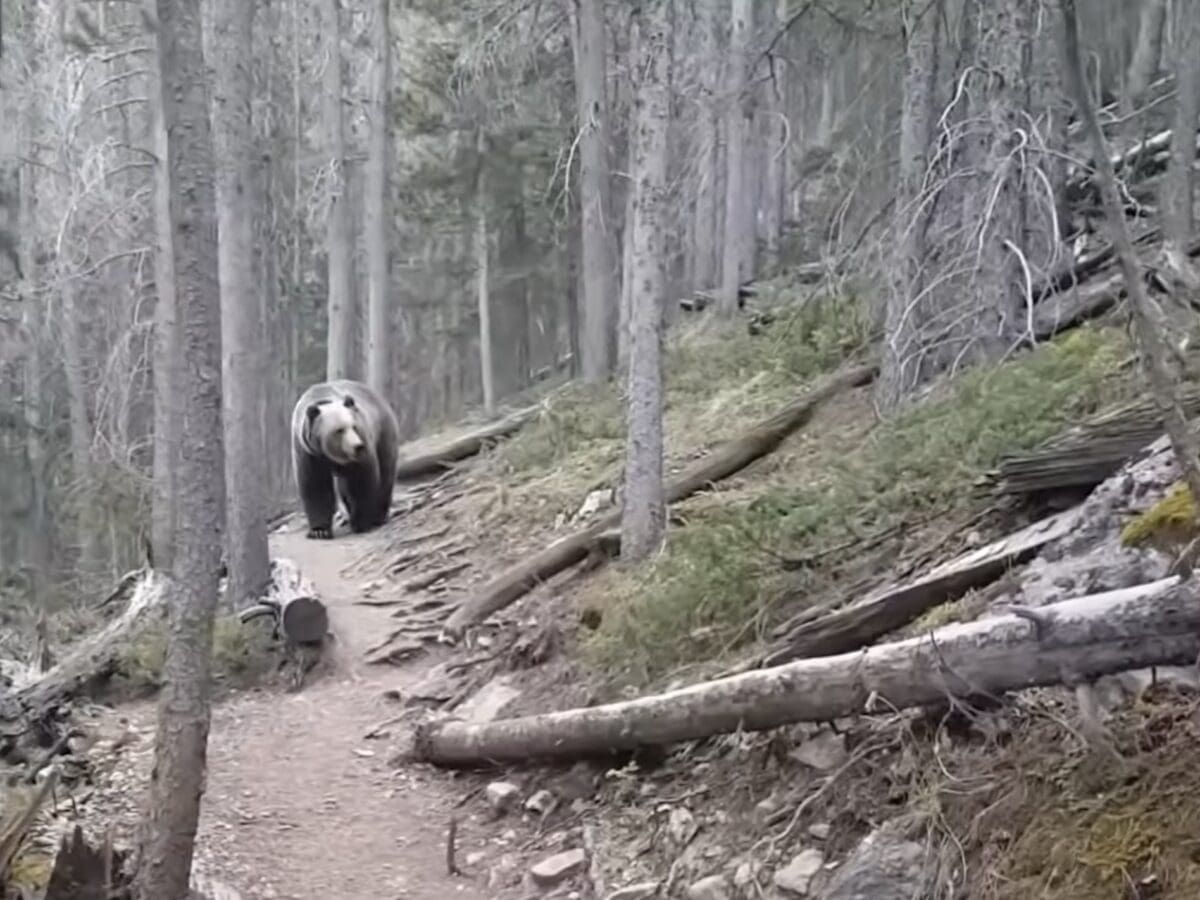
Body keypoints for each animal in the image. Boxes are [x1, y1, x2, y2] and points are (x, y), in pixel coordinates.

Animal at [291, 379, 401, 540]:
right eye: (339, 430)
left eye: (353, 427)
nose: (358, 446)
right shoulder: (307, 451)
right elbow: (314, 485)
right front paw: (319, 531)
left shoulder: (363, 437)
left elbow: (361, 480)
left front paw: (361, 523)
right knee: (343, 487)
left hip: (384, 432)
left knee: (386, 473)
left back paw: (378, 516)